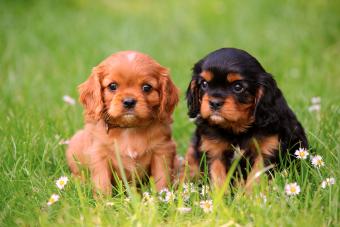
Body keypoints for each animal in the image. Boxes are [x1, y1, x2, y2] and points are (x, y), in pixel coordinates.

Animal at [64, 51, 179, 195]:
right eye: (112, 86)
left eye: (147, 87)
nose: (129, 102)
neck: (129, 128)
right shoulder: (99, 154)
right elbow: (102, 182)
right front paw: (104, 200)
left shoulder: (162, 150)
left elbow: (161, 177)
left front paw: (161, 196)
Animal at [183, 48, 308, 192]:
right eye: (204, 84)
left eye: (238, 87)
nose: (214, 103)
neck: (236, 130)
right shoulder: (213, 151)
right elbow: (217, 177)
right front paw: (220, 197)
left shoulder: (267, 151)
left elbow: (256, 178)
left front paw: (251, 197)